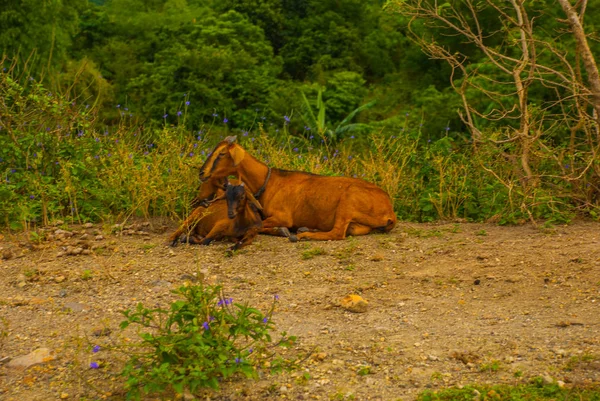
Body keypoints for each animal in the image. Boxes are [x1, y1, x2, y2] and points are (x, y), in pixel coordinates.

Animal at [195, 136, 396, 241]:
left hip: (348, 201)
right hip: (358, 223)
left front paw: (283, 231)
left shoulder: (283, 216)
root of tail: (390, 211)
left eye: (222, 154)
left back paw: (304, 234)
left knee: (338, 233)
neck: (269, 182)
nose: (202, 172)